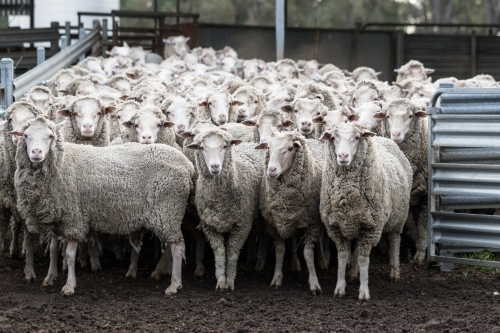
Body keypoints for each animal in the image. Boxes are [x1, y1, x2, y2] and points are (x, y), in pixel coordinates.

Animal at [11, 115, 195, 294]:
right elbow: (53, 250)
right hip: (167, 213)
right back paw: (159, 272)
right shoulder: (56, 216)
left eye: (50, 136)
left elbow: (69, 255)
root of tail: (188, 165)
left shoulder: (74, 218)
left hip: (168, 208)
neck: (62, 163)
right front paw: (49, 278)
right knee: (172, 245)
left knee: (178, 247)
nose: (36, 152)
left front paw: (69, 286)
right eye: (25, 136)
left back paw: (174, 284)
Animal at [256, 130, 322, 294]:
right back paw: (295, 265)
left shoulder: (313, 224)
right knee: (291, 240)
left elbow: (308, 253)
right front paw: (277, 278)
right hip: (289, 219)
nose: (271, 170)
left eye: (290, 148)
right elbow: (280, 250)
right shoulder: (274, 223)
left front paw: (314, 283)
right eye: (269, 148)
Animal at [318, 120, 412, 300]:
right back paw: (353, 273)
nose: (343, 156)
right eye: (333, 138)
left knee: (395, 241)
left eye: (356, 137)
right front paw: (340, 287)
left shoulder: (371, 228)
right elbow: (343, 256)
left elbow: (363, 259)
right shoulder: (337, 227)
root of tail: (384, 138)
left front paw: (363, 291)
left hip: (399, 217)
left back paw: (394, 272)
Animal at [376, 98, 428, 260]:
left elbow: (423, 226)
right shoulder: (406, 199)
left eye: (410, 116)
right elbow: (410, 223)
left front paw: (421, 253)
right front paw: (416, 243)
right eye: (387, 116)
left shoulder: (426, 197)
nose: (396, 134)